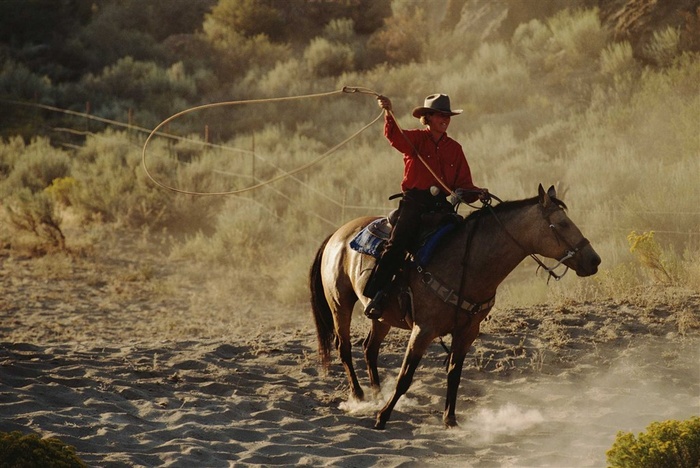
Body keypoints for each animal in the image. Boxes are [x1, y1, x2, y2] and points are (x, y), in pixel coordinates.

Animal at [310, 182, 600, 428]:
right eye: (561, 223)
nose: (594, 260)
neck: (467, 262)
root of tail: (337, 234)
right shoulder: (423, 329)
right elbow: (405, 376)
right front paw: (383, 417)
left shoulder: (467, 331)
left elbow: (454, 374)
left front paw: (449, 419)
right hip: (339, 303)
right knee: (344, 347)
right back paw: (360, 397)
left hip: (382, 316)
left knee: (370, 349)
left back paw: (378, 395)